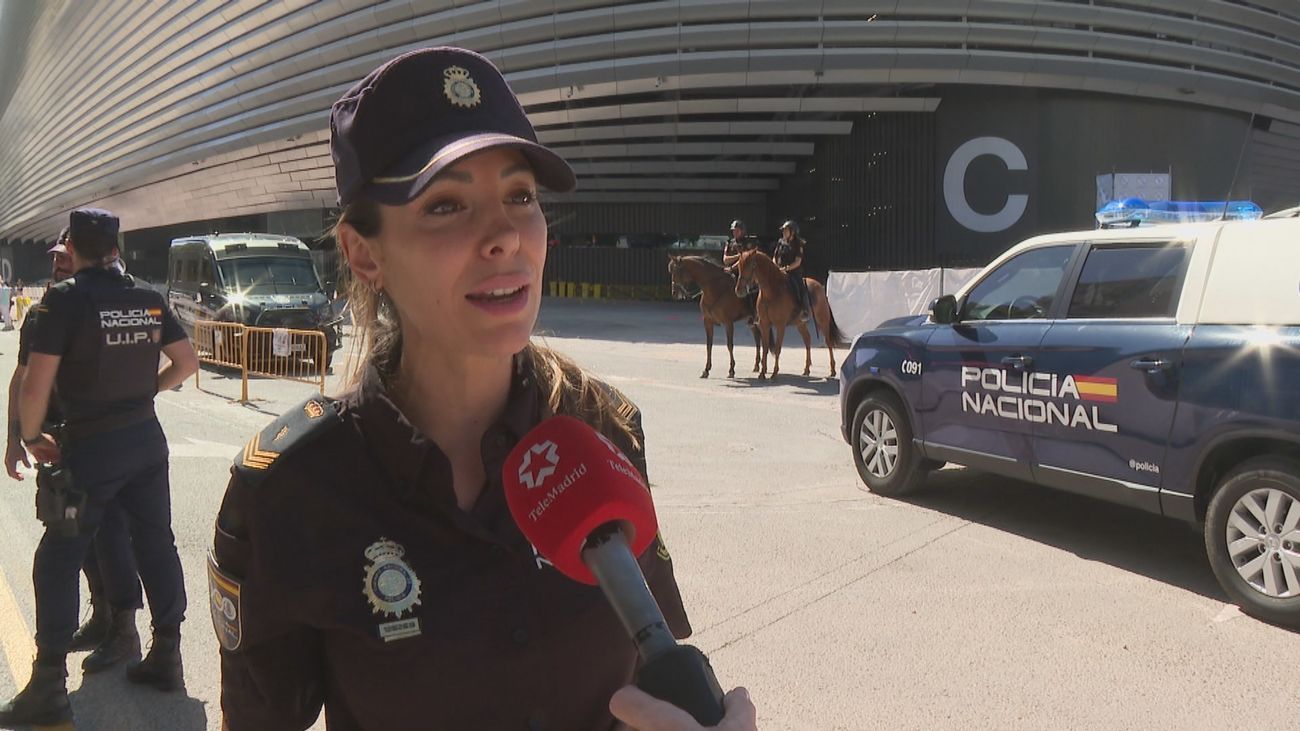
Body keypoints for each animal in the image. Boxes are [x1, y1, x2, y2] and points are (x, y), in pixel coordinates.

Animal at [738, 248, 847, 377]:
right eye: (739, 266)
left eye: (751, 265)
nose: (739, 290)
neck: (772, 292)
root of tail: (819, 286)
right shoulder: (764, 324)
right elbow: (765, 348)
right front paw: (762, 373)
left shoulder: (780, 325)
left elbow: (778, 348)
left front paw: (774, 373)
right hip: (800, 323)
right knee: (807, 339)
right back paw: (806, 369)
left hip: (822, 321)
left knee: (828, 342)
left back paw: (832, 370)